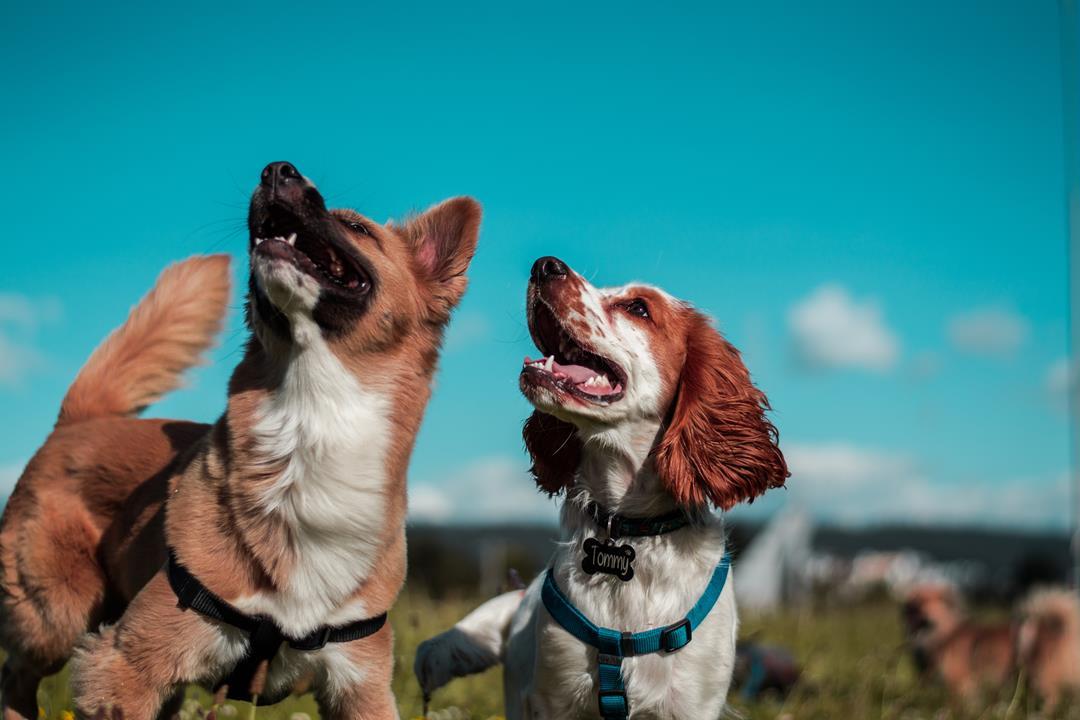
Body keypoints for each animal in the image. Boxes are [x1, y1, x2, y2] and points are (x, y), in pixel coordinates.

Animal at [0, 162, 481, 720]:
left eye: (356, 228)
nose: (278, 170)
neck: (310, 422)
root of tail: (82, 419)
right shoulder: (125, 664)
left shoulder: (362, 685)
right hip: (56, 617)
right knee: (16, 673)